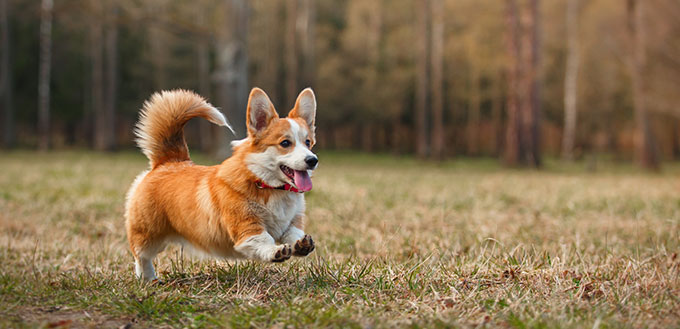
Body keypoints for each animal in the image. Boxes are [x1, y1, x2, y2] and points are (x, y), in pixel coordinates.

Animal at [124, 86, 316, 280]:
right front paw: (274, 251)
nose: (312, 160)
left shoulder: (293, 222)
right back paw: (147, 278)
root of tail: (168, 161)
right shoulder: (247, 227)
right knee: (141, 255)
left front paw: (301, 244)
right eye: (285, 143)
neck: (268, 185)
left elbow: (293, 234)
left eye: (308, 142)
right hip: (147, 234)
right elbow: (263, 239)